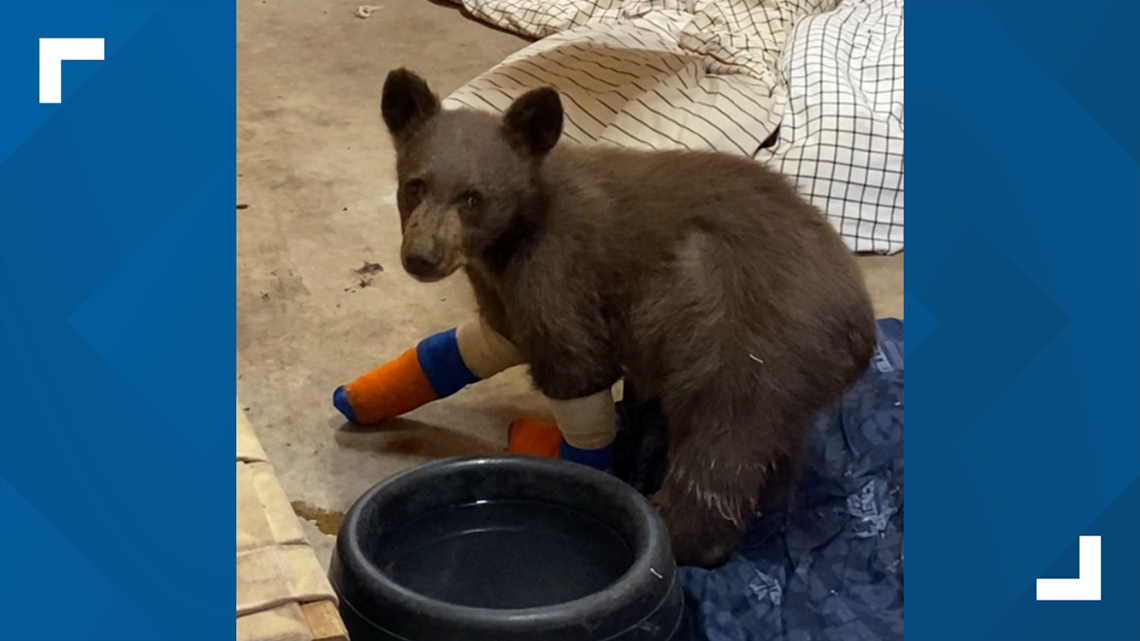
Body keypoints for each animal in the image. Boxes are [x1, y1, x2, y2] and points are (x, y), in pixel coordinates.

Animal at [379, 68, 877, 568]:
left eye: (473, 198)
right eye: (415, 184)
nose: (421, 257)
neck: (512, 238)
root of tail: (860, 329)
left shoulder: (559, 276)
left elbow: (575, 368)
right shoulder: (505, 296)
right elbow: (484, 342)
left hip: (737, 331)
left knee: (720, 443)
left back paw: (675, 533)